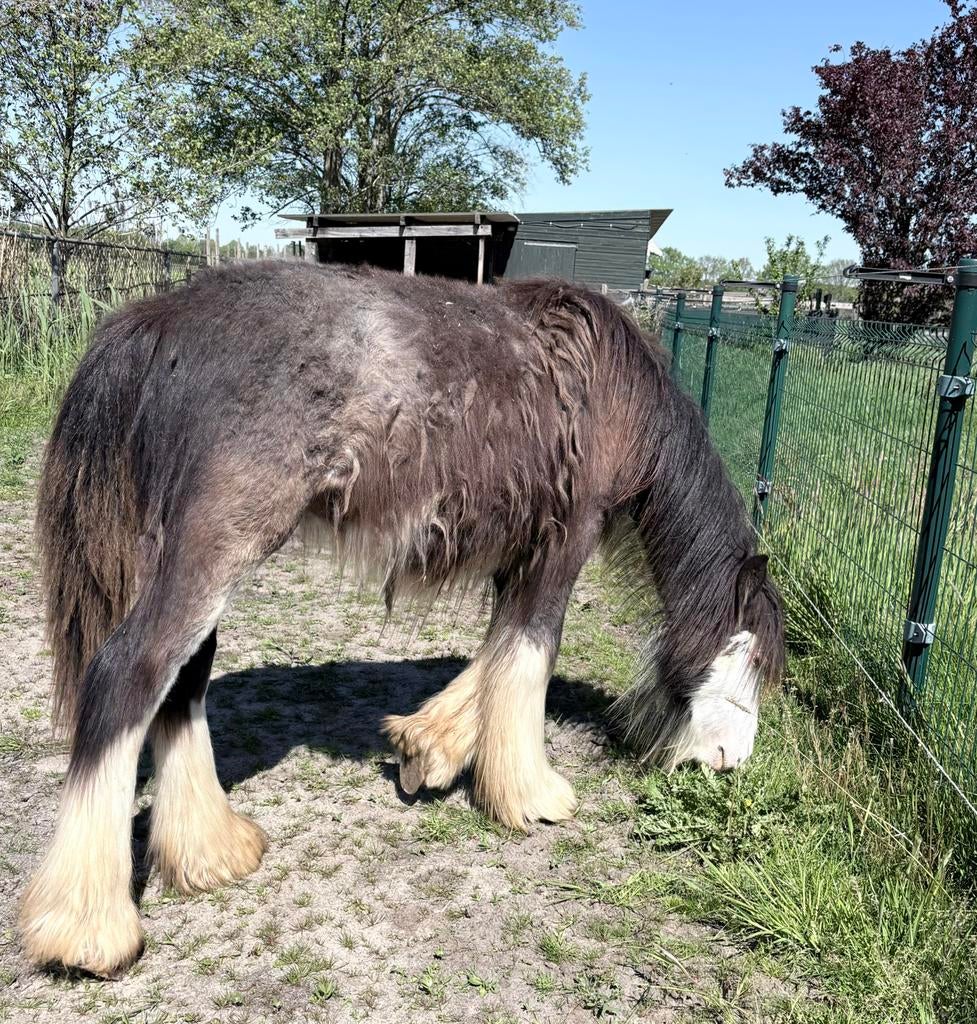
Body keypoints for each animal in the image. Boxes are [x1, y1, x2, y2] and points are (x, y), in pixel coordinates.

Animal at [19, 260, 783, 977]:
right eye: (745, 658)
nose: (731, 764)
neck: (604, 382)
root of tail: (160, 319)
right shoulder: (564, 543)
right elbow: (531, 657)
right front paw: (530, 793)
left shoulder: (519, 556)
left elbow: (496, 658)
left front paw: (430, 749)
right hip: (215, 549)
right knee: (129, 674)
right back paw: (87, 927)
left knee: (183, 683)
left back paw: (210, 851)